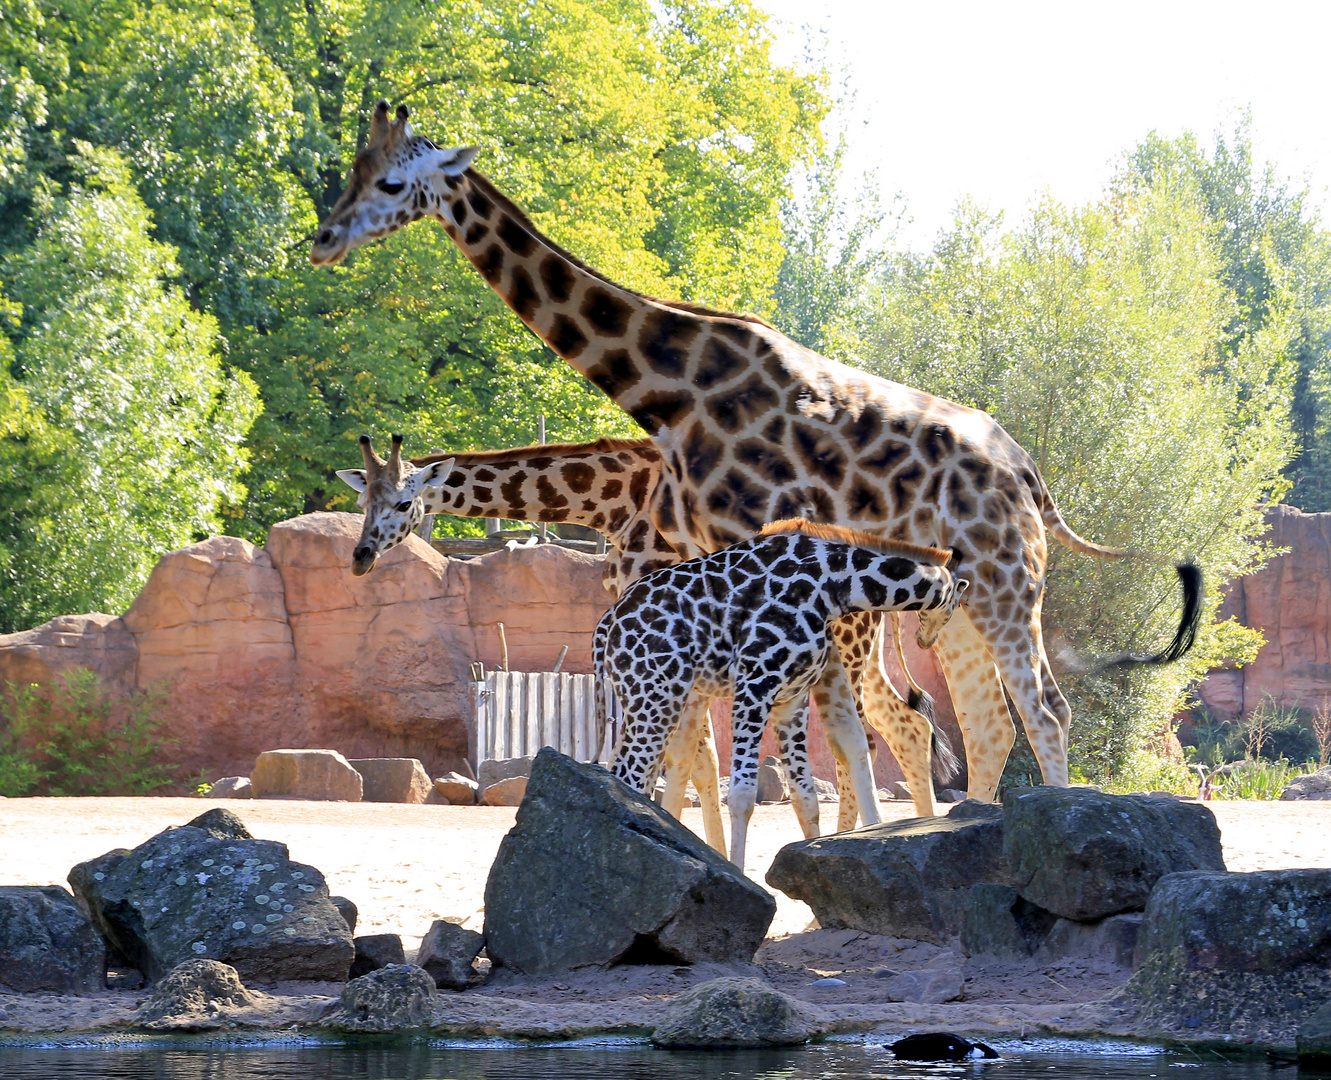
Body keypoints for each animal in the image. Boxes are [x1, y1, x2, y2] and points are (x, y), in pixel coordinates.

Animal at [306, 101, 1203, 804]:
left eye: (392, 185)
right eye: (352, 169)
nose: (322, 238)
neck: (665, 388)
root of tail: (1028, 473)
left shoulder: (729, 562)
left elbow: (724, 743)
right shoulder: (686, 574)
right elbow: (698, 741)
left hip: (1005, 582)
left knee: (1033, 709)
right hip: (957, 605)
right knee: (976, 721)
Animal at [331, 434, 937, 846]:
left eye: (403, 504)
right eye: (363, 503)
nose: (359, 557)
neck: (616, 500)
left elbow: (685, 761)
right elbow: (693, 762)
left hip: (842, 651)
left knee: (860, 740)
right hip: (844, 658)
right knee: (899, 729)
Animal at [601, 519, 968, 868]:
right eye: (954, 604)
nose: (925, 640)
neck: (836, 581)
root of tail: (606, 626)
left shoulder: (791, 697)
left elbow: (805, 797)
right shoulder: (755, 682)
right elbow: (742, 795)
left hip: (649, 699)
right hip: (657, 694)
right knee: (632, 775)